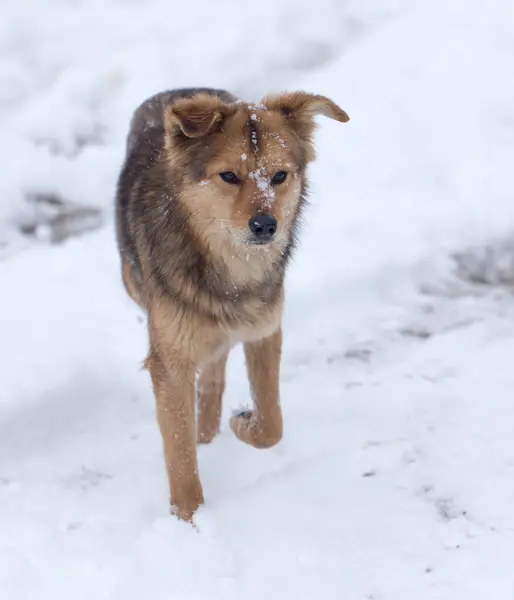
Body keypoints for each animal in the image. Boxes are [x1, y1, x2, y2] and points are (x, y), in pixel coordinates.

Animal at [115, 85, 348, 520]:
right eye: (229, 176)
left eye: (279, 176)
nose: (265, 225)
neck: (231, 275)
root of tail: (177, 92)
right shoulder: (170, 357)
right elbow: (179, 450)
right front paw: (189, 521)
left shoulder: (264, 328)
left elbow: (272, 423)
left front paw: (244, 423)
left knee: (214, 373)